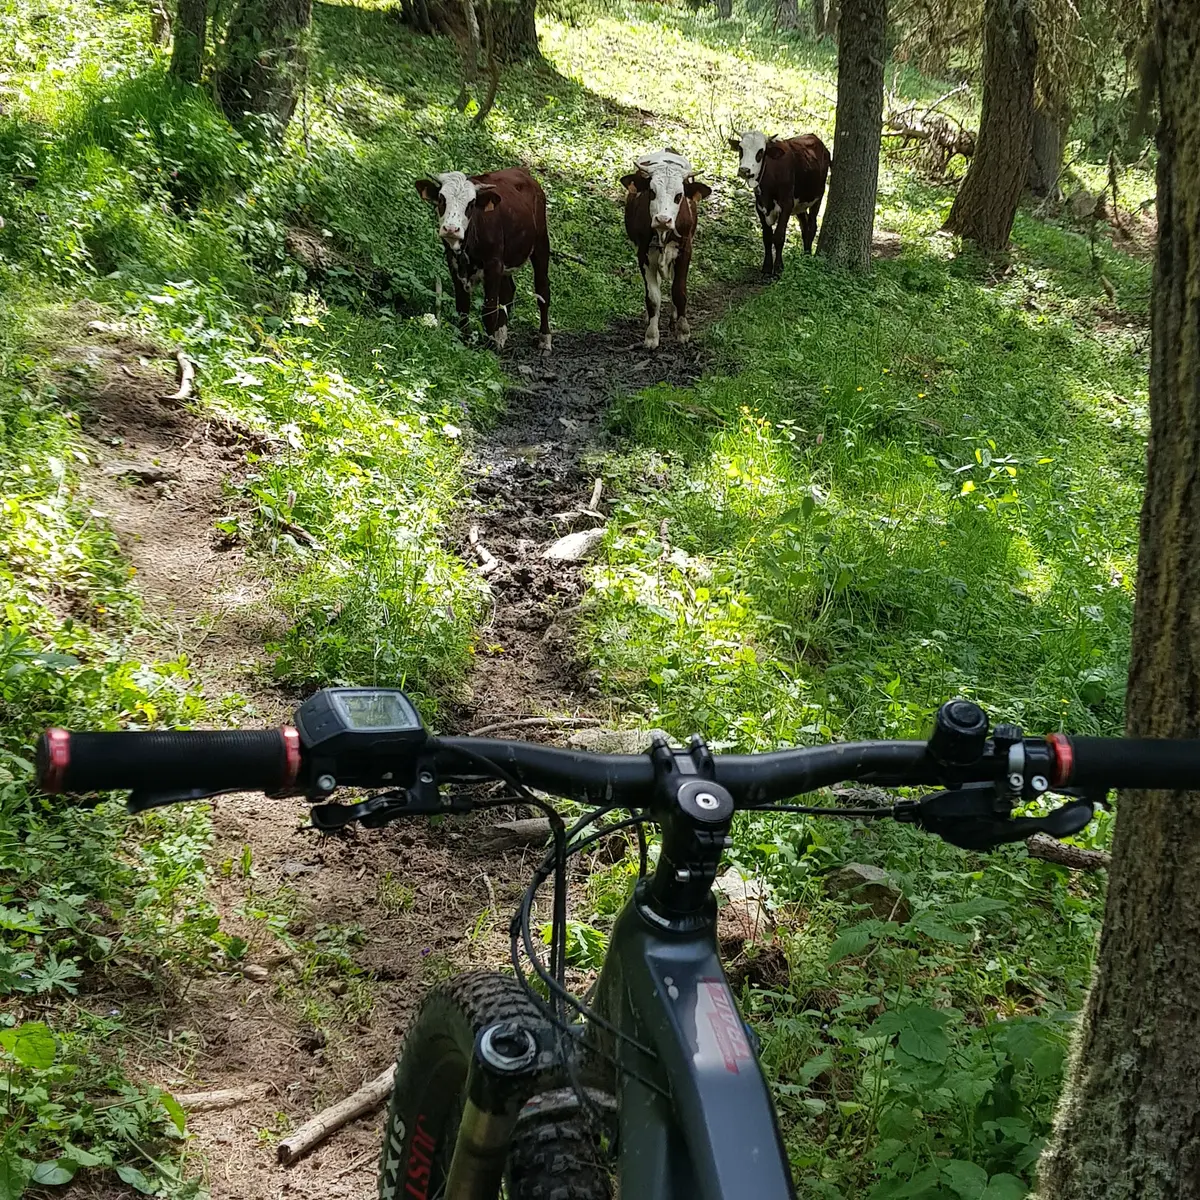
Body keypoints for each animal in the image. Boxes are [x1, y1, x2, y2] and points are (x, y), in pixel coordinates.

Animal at [414, 167, 551, 353]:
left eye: (471, 204)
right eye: (442, 199)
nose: (451, 229)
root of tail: (522, 171)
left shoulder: (493, 264)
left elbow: (489, 310)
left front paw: (490, 348)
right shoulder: (454, 263)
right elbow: (462, 306)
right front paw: (466, 342)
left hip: (541, 243)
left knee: (542, 290)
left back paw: (544, 338)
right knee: (508, 290)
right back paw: (501, 335)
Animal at [620, 150, 712, 350]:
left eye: (679, 196)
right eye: (652, 192)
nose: (663, 219)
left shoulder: (685, 250)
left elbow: (679, 291)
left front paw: (683, 331)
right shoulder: (643, 253)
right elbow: (653, 297)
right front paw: (652, 334)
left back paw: (674, 317)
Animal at [727, 131, 831, 276]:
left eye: (761, 151)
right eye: (741, 148)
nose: (744, 170)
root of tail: (813, 137)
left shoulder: (786, 205)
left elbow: (779, 237)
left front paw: (778, 268)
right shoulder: (760, 207)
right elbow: (767, 237)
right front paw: (766, 267)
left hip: (818, 197)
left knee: (812, 227)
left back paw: (808, 256)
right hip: (800, 205)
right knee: (804, 227)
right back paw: (805, 256)